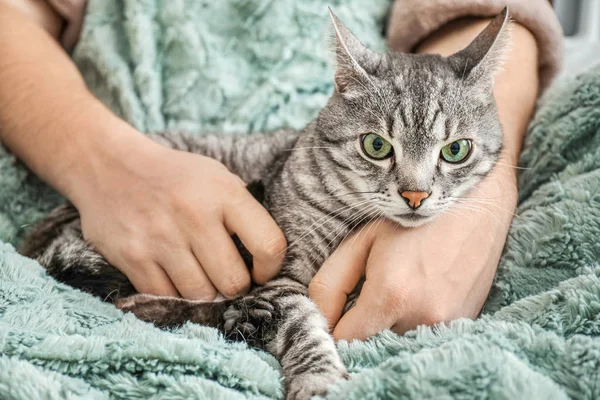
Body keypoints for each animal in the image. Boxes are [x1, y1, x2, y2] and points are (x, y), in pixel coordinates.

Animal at [22, 9, 510, 400]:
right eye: (376, 146)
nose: (415, 194)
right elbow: (305, 329)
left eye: (455, 151)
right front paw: (319, 379)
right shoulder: (282, 280)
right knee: (129, 300)